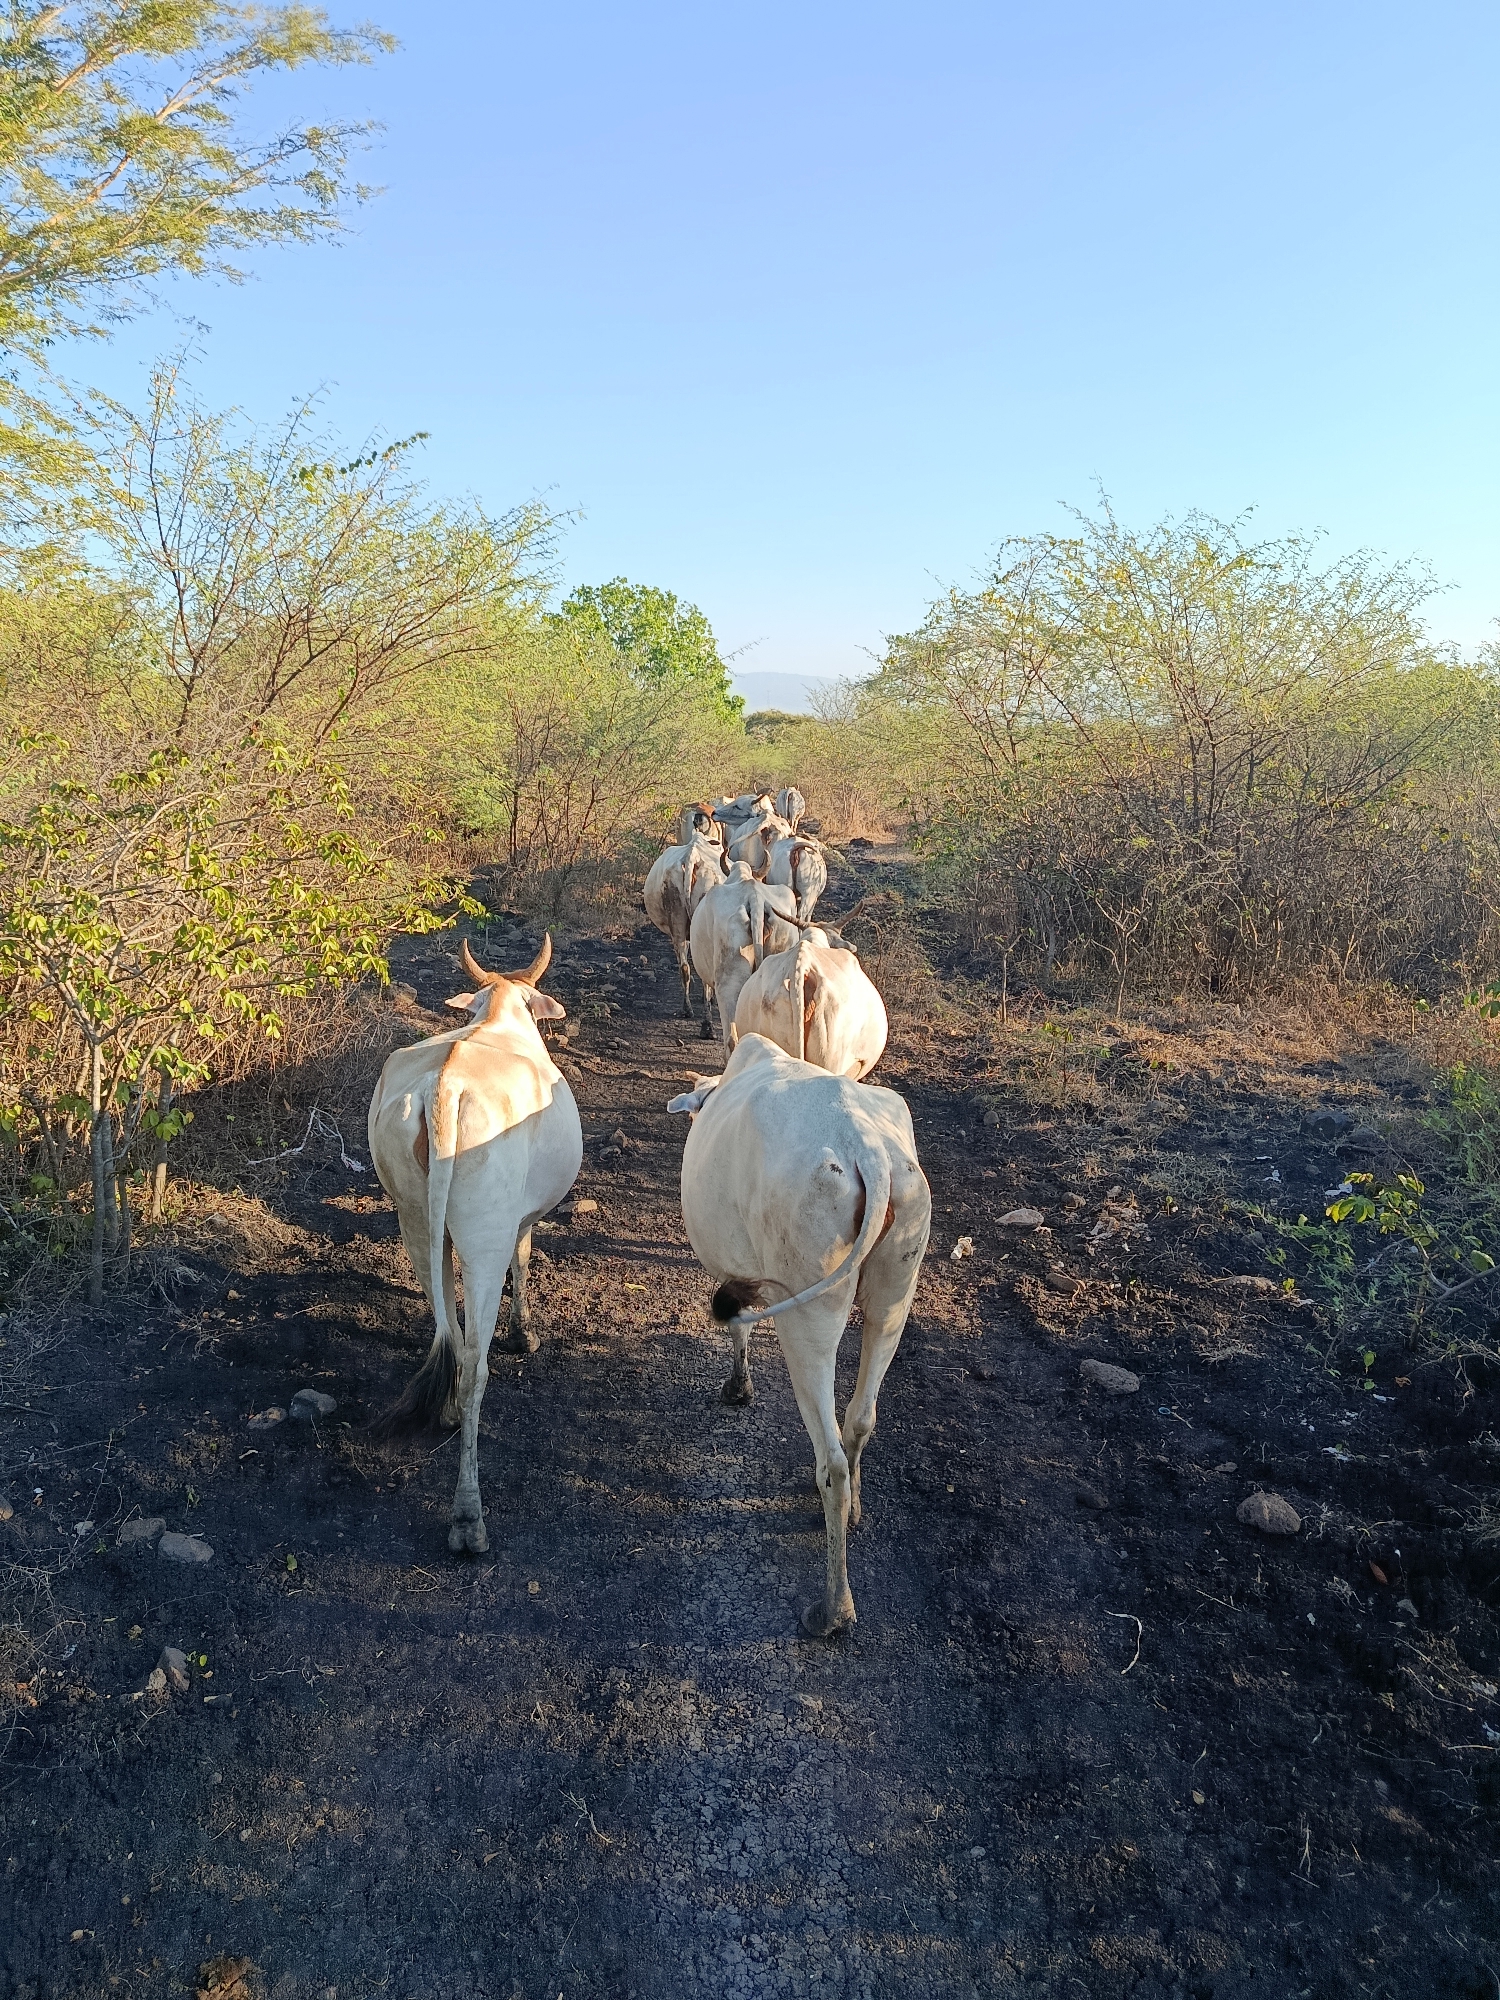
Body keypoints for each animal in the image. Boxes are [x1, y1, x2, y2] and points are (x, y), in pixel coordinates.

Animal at [368, 936, 582, 1553]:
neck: (498, 1018)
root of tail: (443, 1086)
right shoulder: (518, 1220)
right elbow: (524, 1260)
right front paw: (524, 1333)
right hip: (482, 1234)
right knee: (473, 1365)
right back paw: (468, 1516)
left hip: (416, 1220)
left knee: (445, 1328)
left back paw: (443, 1411)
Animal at [668, 1033, 931, 1636]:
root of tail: (869, 1153)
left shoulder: (735, 1273)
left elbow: (737, 1325)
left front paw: (738, 1388)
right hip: (897, 1285)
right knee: (860, 1418)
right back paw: (853, 1512)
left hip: (807, 1305)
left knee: (831, 1459)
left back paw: (833, 1608)